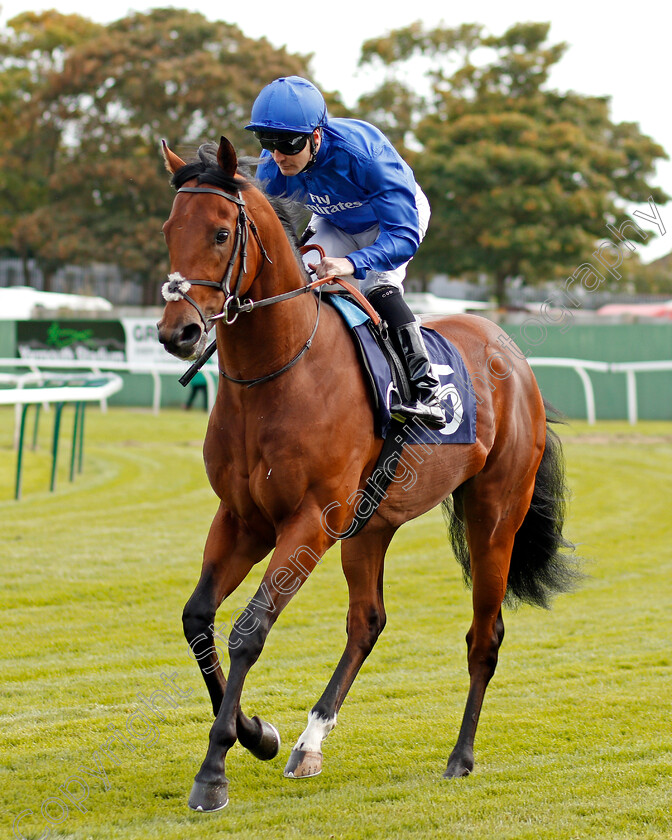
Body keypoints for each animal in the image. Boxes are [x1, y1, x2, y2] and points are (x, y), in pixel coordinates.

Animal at [158, 138, 576, 812]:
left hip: (493, 516)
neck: (278, 371)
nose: (180, 332)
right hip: (370, 526)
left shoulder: (310, 520)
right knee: (368, 622)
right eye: (170, 229)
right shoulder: (244, 518)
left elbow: (249, 629)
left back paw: (460, 756)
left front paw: (215, 767)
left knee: (484, 635)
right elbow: (198, 619)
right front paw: (259, 733)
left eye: (221, 233)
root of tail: (510, 351)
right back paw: (309, 742)